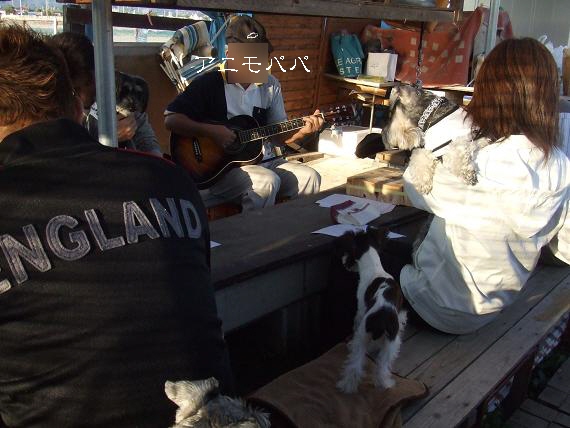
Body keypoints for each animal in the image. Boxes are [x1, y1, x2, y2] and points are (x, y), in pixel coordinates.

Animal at [335, 227, 407, 393]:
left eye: (348, 252)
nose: (343, 261)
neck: (374, 268)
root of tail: (382, 318)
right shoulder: (399, 313)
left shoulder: (360, 310)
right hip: (390, 345)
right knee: (381, 368)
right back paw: (386, 384)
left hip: (363, 338)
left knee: (355, 366)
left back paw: (347, 386)